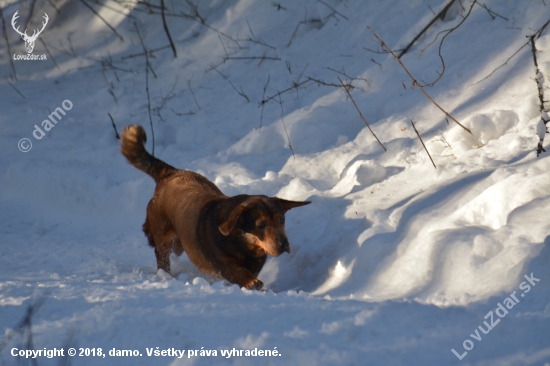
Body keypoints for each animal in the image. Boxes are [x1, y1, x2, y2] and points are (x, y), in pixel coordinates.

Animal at [121, 124, 310, 290]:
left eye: (281, 220)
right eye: (261, 225)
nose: (284, 244)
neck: (243, 243)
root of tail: (170, 173)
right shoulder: (225, 266)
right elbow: (238, 272)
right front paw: (252, 282)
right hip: (162, 237)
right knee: (162, 257)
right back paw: (165, 275)